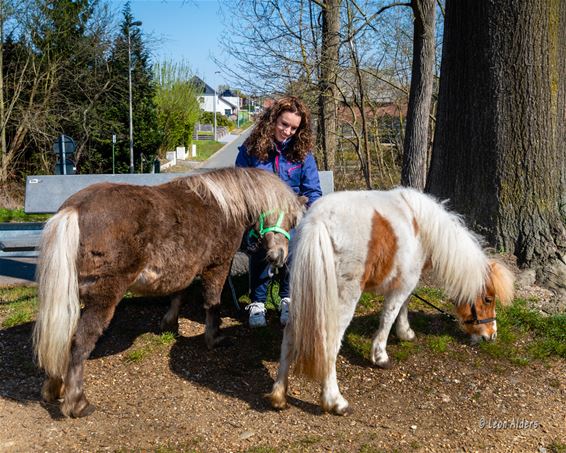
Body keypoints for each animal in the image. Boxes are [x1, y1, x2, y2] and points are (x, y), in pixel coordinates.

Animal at [32, 166, 306, 416]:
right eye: (289, 219)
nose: (278, 257)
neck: (223, 205)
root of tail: (75, 209)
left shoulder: (183, 267)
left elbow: (178, 294)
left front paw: (169, 323)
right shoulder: (217, 266)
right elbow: (212, 303)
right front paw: (213, 338)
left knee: (60, 334)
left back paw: (54, 386)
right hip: (103, 298)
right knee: (80, 343)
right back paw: (77, 402)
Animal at [268, 186, 516, 414]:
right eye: (488, 299)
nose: (491, 335)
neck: (421, 227)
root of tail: (317, 222)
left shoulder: (404, 282)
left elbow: (403, 306)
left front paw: (405, 332)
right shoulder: (404, 283)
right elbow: (389, 314)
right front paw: (380, 356)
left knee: (289, 336)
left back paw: (279, 394)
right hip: (341, 302)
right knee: (329, 344)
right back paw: (335, 401)